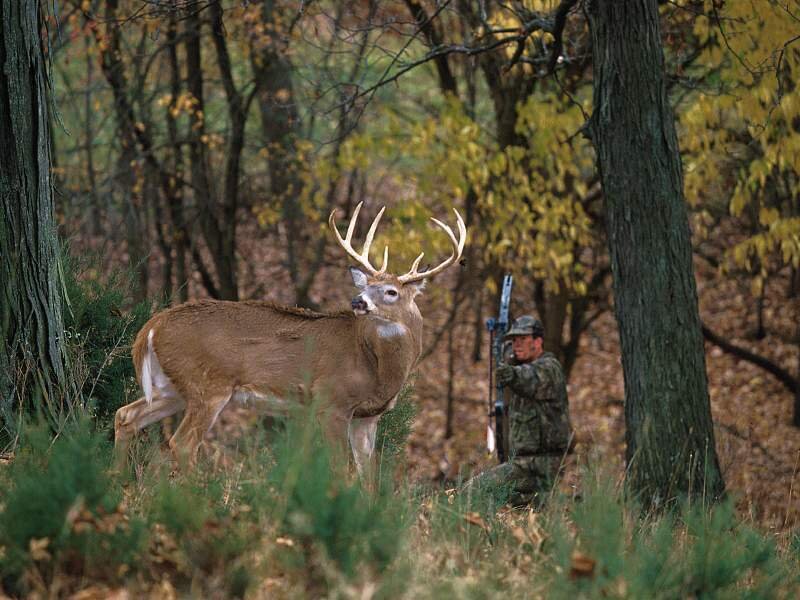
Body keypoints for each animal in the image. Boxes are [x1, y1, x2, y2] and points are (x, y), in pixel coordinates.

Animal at [114, 202, 466, 473]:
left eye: (391, 291)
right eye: (365, 286)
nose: (357, 302)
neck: (376, 367)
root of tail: (151, 326)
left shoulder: (368, 417)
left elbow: (368, 477)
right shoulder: (331, 401)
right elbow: (342, 471)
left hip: (172, 386)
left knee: (125, 415)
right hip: (207, 385)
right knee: (182, 443)